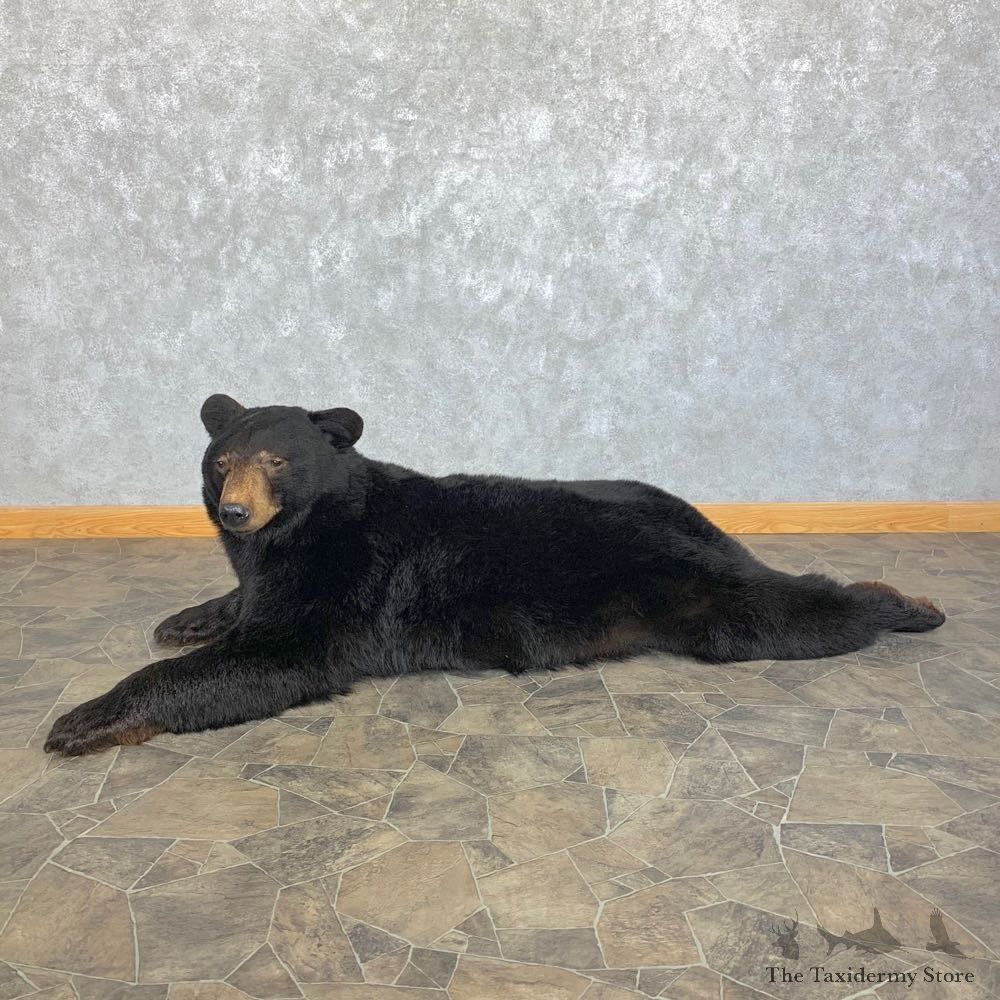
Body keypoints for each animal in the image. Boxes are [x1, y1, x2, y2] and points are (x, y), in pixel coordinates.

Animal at [44, 394, 945, 755]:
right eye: (220, 460)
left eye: (278, 461)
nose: (234, 512)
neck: (301, 527)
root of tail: (708, 530)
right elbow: (247, 603)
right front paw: (190, 614)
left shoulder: (349, 576)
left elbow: (274, 655)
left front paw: (86, 717)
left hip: (697, 594)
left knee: (779, 610)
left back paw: (905, 603)